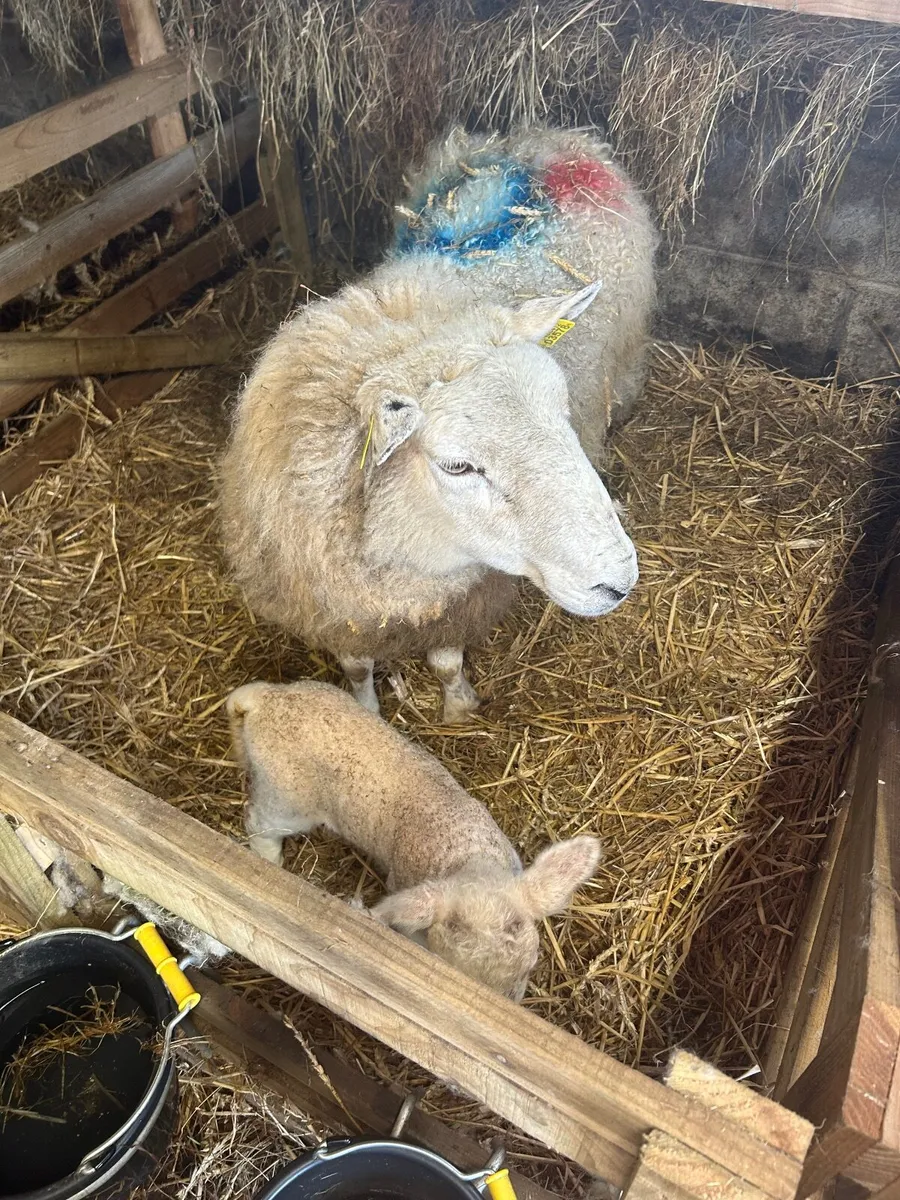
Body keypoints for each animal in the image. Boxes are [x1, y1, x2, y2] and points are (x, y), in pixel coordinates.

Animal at [220, 123, 658, 723]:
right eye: (457, 466)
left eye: (562, 411)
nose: (619, 581)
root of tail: (544, 139)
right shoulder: (335, 606)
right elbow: (357, 668)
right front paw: (365, 712)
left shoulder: (460, 598)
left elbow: (448, 660)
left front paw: (458, 707)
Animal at [227, 678, 601, 1001]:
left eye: (526, 973)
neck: (470, 856)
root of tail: (264, 698)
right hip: (287, 797)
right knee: (259, 821)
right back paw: (269, 860)